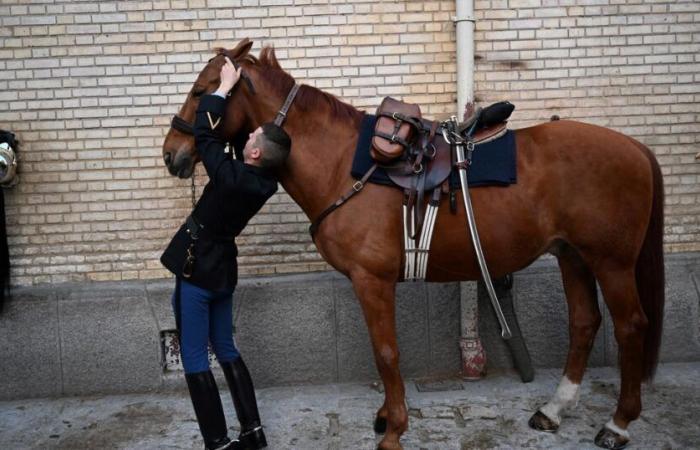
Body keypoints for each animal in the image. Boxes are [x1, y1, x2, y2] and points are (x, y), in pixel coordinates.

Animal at [161, 40, 664, 448]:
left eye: (204, 91)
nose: (171, 154)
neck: (343, 163)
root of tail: (636, 148)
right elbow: (381, 351)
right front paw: (387, 417)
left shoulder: (372, 281)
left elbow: (387, 352)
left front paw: (394, 429)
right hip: (572, 256)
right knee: (584, 323)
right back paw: (554, 411)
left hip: (611, 263)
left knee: (630, 327)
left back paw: (618, 424)